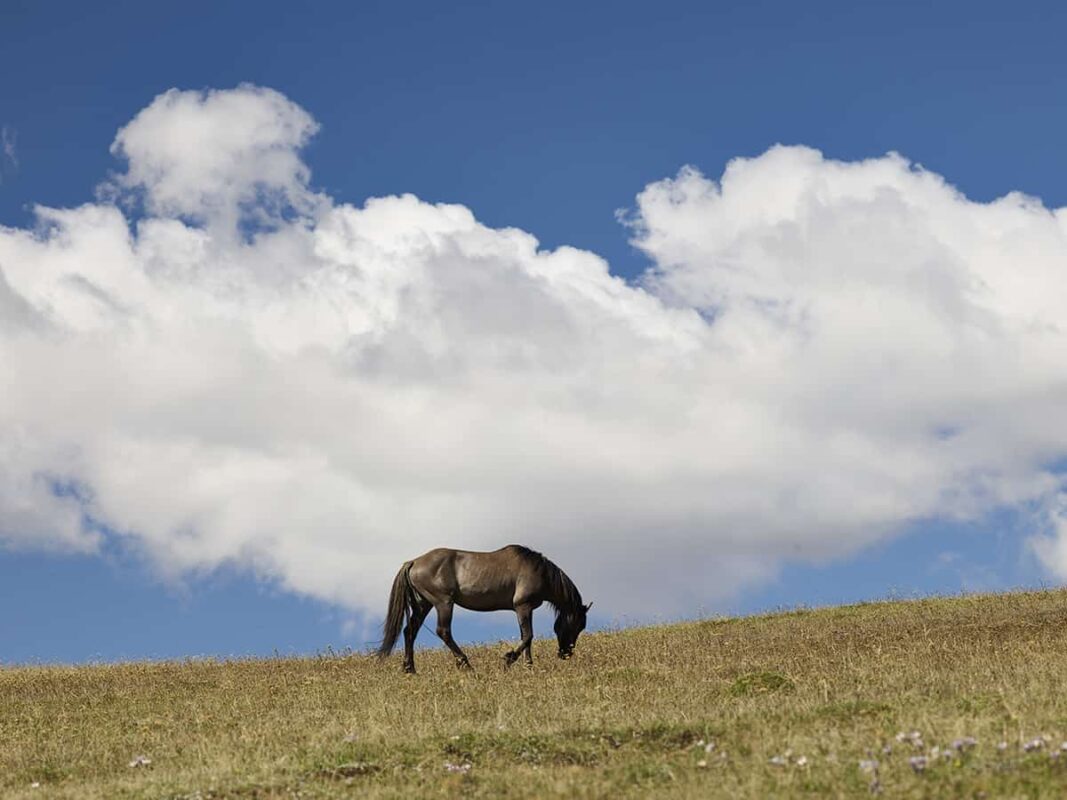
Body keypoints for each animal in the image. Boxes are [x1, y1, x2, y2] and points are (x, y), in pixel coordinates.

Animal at [376, 545, 591, 673]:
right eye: (577, 625)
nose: (566, 653)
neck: (540, 572)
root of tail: (413, 562)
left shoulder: (525, 609)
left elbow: (527, 638)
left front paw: (528, 666)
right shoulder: (523, 606)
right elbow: (528, 636)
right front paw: (508, 659)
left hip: (423, 604)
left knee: (409, 631)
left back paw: (410, 669)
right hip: (443, 603)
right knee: (443, 631)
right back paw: (466, 664)